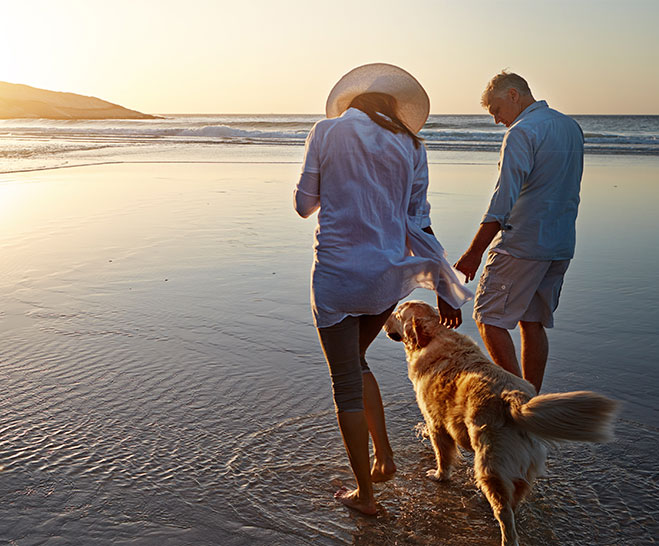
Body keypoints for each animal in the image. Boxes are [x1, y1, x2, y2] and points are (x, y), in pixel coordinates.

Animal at [384, 300, 620, 544]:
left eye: (398, 314)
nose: (383, 318)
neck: (434, 337)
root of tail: (515, 400)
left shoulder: (437, 423)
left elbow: (443, 456)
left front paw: (439, 476)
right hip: (522, 465)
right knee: (515, 499)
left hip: (490, 465)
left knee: (505, 513)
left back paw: (504, 534)